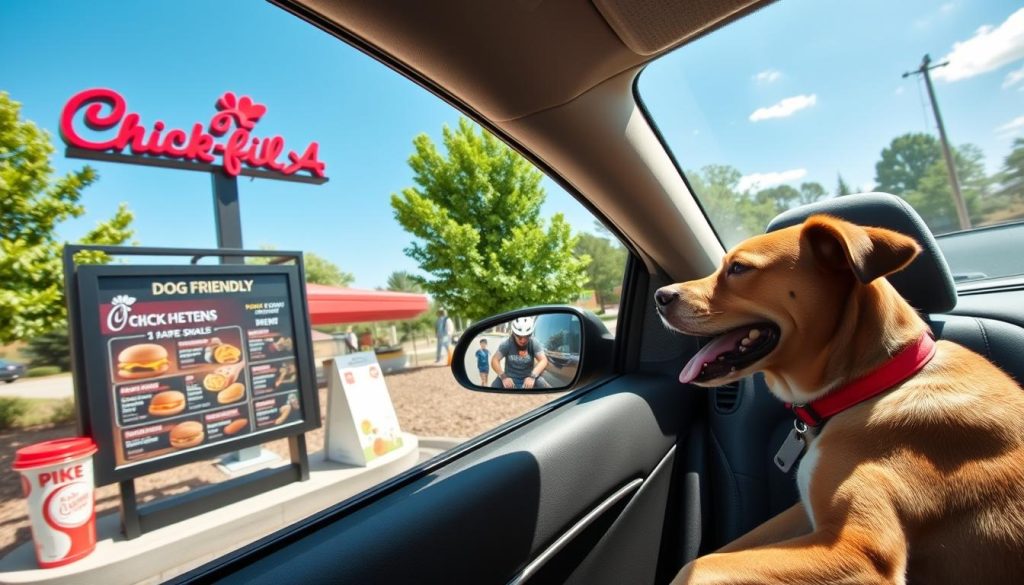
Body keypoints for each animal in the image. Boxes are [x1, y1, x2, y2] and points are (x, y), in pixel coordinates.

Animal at [655, 216, 1024, 585]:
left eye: (739, 268)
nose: (660, 295)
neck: (876, 381)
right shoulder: (805, 511)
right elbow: (718, 552)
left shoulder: (859, 550)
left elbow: (697, 566)